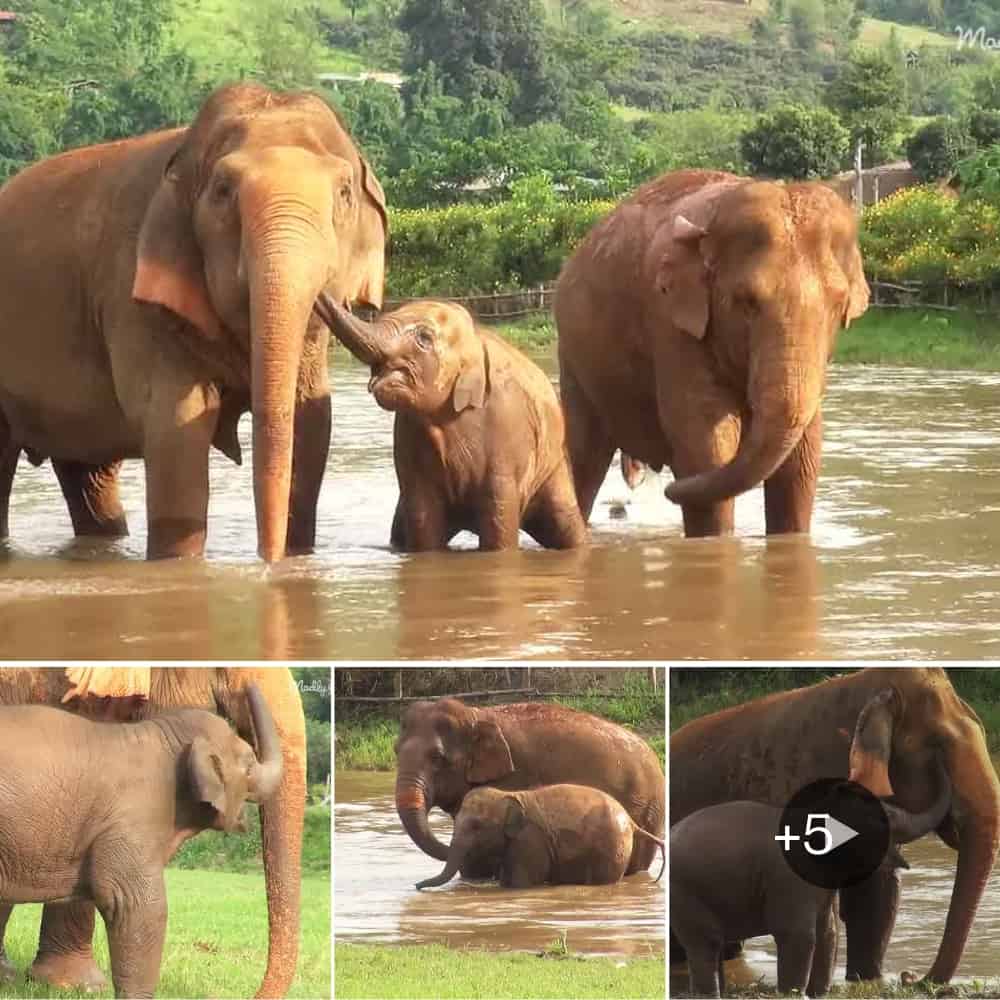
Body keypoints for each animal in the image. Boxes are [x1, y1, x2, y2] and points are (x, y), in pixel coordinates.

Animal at [0, 81, 387, 562]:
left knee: (87, 473)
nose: (268, 561)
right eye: (222, 191)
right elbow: (178, 424)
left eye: (346, 193)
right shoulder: (135, 298)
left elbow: (311, 422)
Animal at [315, 296, 586, 551]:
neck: (474, 339)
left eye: (424, 337)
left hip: (553, 466)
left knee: (566, 525)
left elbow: (499, 514)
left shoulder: (508, 428)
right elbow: (422, 514)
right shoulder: (408, 432)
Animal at [415, 783, 666, 890]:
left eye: (476, 826)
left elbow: (520, 884)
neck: (508, 794)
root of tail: (632, 822)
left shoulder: (529, 840)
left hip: (611, 850)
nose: (417, 885)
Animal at [554, 169, 870, 538]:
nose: (668, 490)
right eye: (746, 302)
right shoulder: (670, 323)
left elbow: (800, 462)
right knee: (584, 458)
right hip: (573, 359)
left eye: (838, 304)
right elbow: (706, 448)